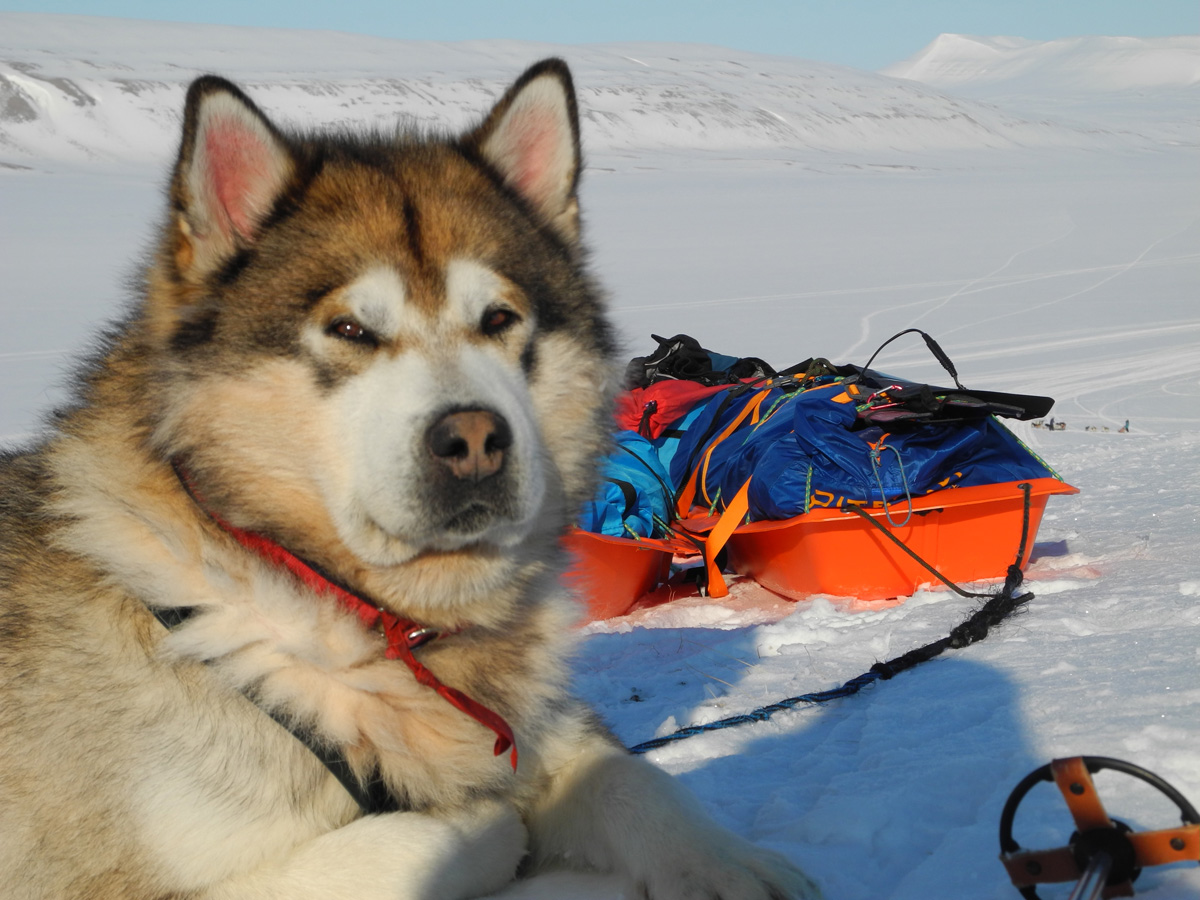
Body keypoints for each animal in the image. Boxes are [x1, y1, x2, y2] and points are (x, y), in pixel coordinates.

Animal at [0, 58, 820, 900]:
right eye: (351, 329)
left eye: (498, 319)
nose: (476, 440)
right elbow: (441, 835)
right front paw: (485, 830)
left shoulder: (540, 730)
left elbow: (630, 780)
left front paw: (732, 865)